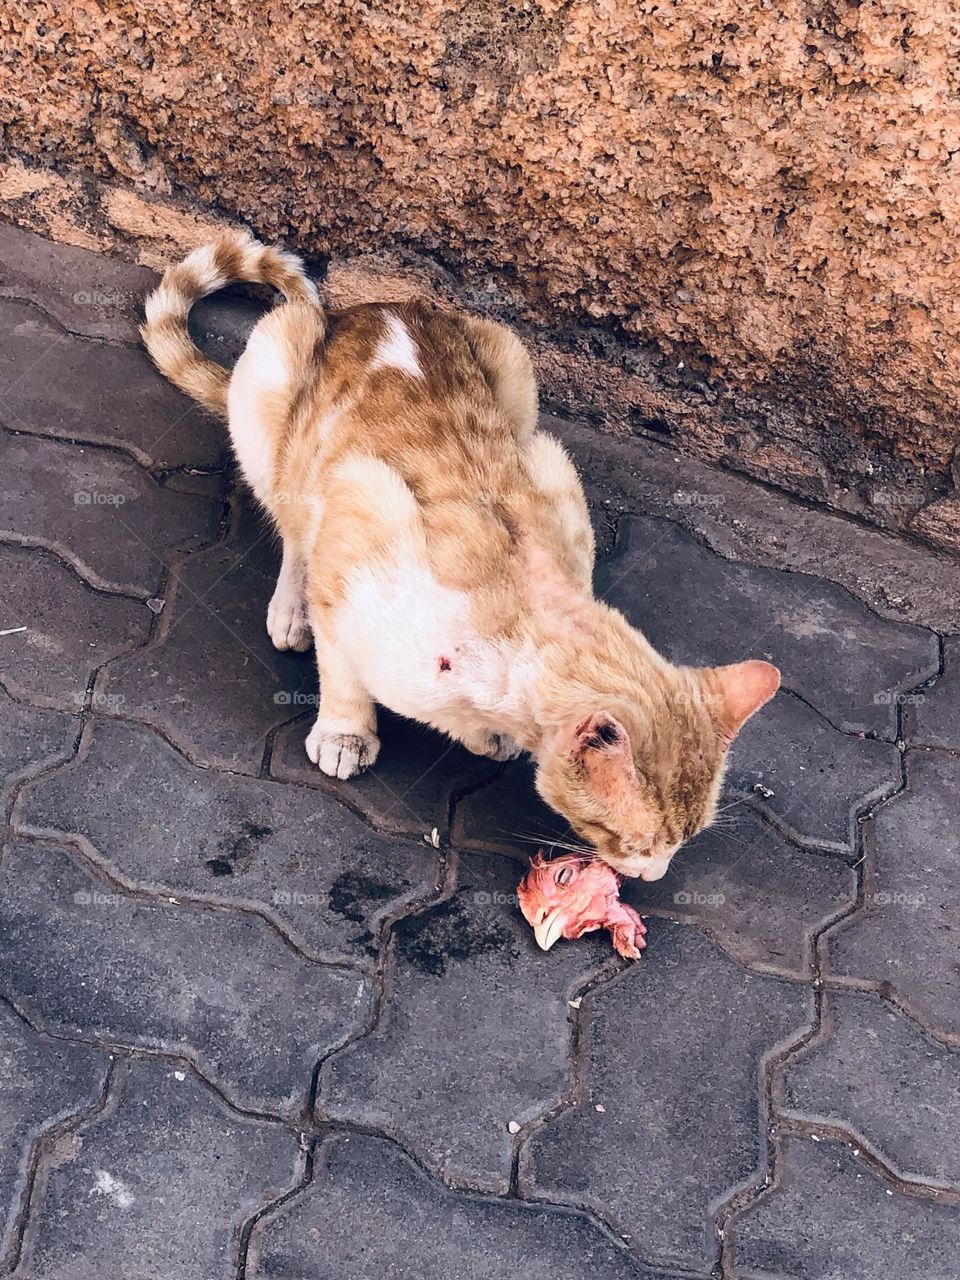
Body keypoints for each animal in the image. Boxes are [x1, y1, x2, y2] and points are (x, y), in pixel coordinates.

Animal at [144, 230, 783, 880]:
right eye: (630, 839)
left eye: (686, 837)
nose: (654, 875)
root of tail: (375, 307)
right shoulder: (358, 509)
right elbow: (341, 661)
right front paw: (347, 733)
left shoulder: (552, 472)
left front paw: (483, 734)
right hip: (273, 369)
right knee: (292, 523)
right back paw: (291, 607)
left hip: (513, 362)